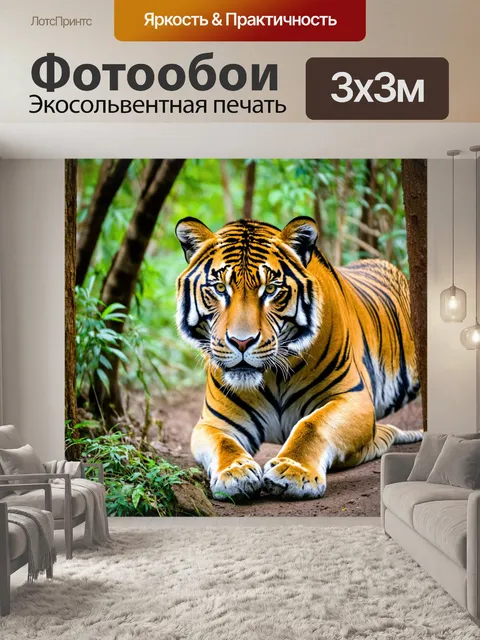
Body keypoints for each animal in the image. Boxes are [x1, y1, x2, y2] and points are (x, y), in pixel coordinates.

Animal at [175, 216, 422, 501]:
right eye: (219, 288)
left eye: (271, 289)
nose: (242, 341)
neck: (273, 376)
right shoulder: (213, 421)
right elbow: (223, 442)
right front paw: (234, 473)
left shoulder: (353, 398)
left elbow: (311, 425)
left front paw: (294, 472)